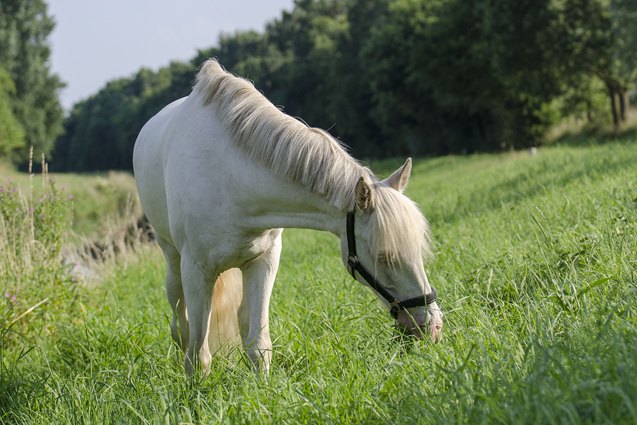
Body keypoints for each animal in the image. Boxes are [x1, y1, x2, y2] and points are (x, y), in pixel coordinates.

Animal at [134, 59, 442, 374]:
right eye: (384, 258)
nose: (432, 327)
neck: (231, 177)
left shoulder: (264, 260)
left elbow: (258, 347)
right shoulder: (196, 271)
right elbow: (198, 356)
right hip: (172, 258)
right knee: (180, 320)